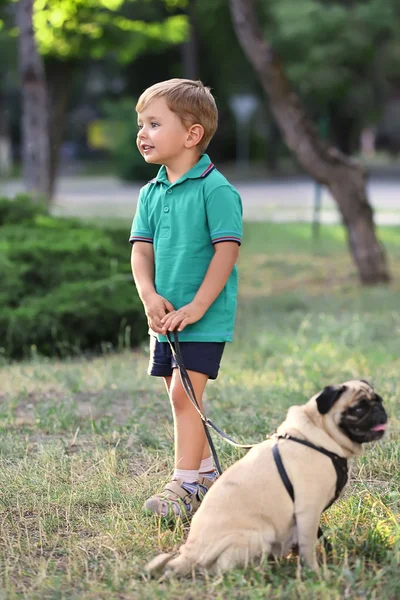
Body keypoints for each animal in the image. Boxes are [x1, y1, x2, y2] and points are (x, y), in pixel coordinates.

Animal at [146, 380, 388, 576]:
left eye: (379, 400)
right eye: (358, 409)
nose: (380, 410)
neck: (316, 436)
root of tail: (189, 553)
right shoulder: (308, 511)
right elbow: (309, 546)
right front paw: (316, 572)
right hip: (259, 534)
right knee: (223, 568)